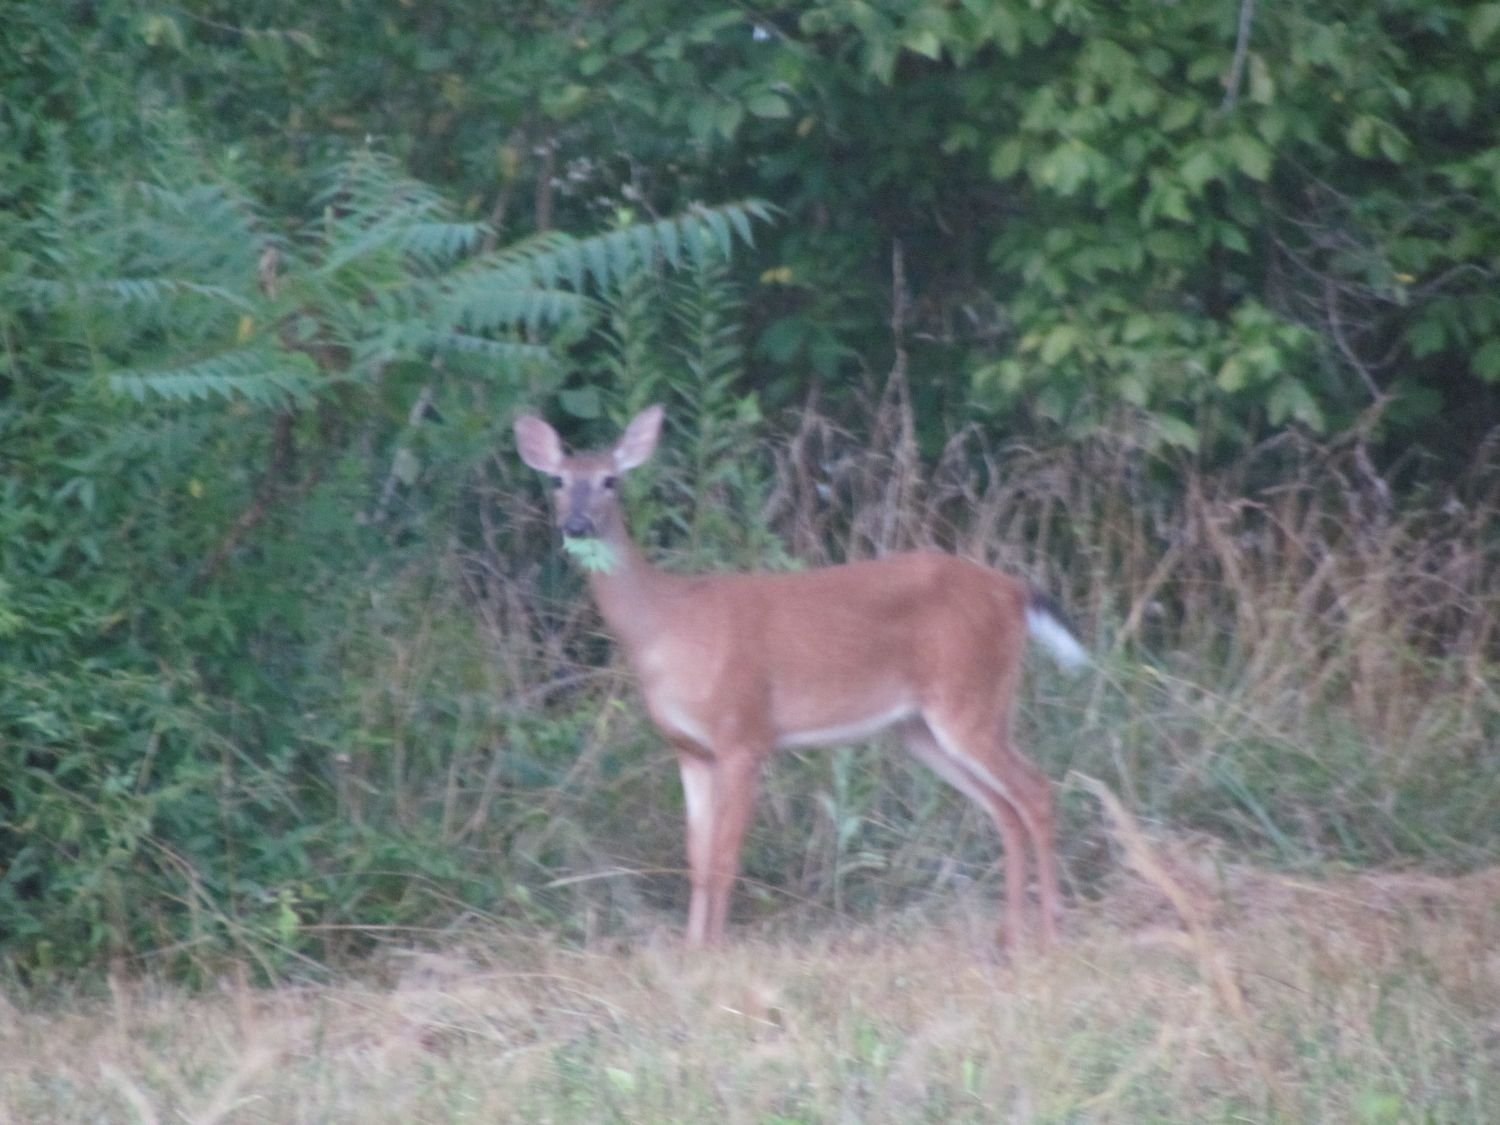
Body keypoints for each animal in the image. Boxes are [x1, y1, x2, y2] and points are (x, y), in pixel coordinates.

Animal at [510, 405, 1086, 954]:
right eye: (558, 480)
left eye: (610, 480)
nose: (576, 525)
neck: (665, 626)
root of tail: (1014, 592)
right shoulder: (690, 749)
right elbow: (696, 858)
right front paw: (691, 950)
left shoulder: (745, 733)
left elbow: (724, 856)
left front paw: (714, 951)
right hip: (922, 728)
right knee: (1005, 808)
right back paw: (1009, 939)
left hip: (971, 698)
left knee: (1036, 791)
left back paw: (1051, 935)